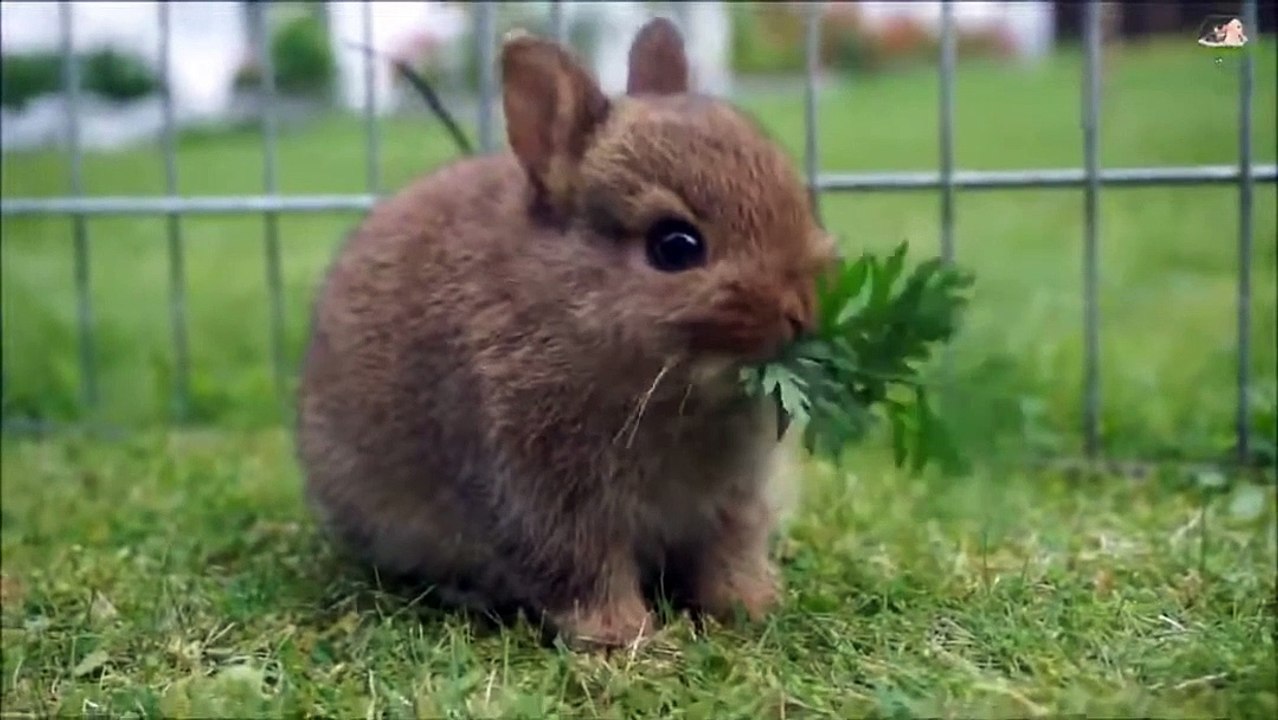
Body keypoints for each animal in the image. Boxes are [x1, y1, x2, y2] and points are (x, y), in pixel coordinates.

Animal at [295, 17, 836, 650]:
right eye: (675, 246)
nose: (801, 312)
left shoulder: (733, 498)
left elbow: (731, 551)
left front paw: (752, 606)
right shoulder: (542, 494)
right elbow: (584, 569)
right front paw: (628, 639)